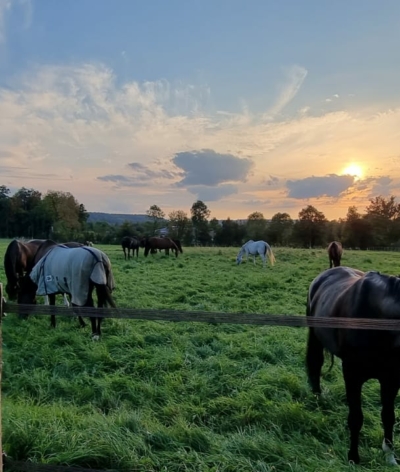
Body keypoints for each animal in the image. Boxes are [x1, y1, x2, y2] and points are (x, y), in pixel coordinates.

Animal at [306, 266, 400, 464]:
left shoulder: (391, 378)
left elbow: (388, 416)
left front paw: (389, 457)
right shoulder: (353, 375)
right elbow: (356, 418)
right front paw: (353, 458)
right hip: (315, 337)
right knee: (316, 364)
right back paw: (318, 398)